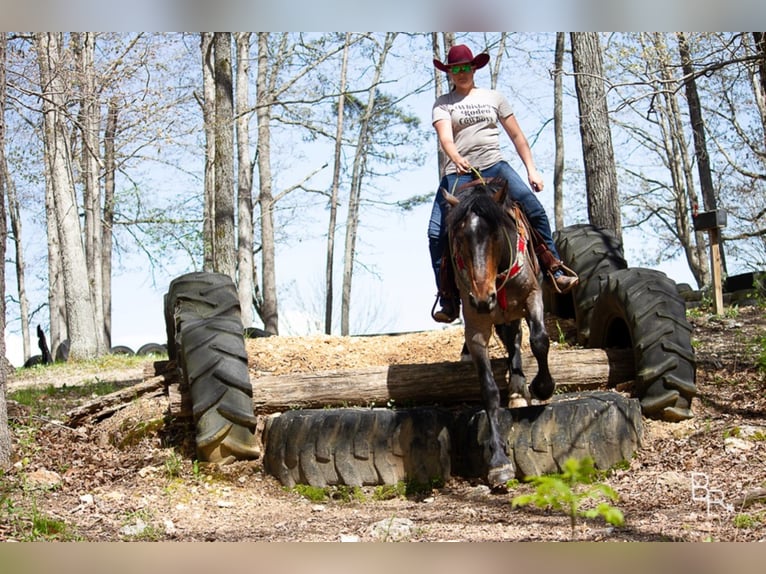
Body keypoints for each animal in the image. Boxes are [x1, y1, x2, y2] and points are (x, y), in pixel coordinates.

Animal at [444, 179, 560, 490]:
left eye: (495, 235)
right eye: (459, 239)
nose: (483, 298)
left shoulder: (533, 296)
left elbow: (539, 341)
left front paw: (542, 387)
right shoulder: (476, 326)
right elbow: (488, 389)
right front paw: (499, 463)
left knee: (519, 341)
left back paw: (520, 389)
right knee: (512, 340)